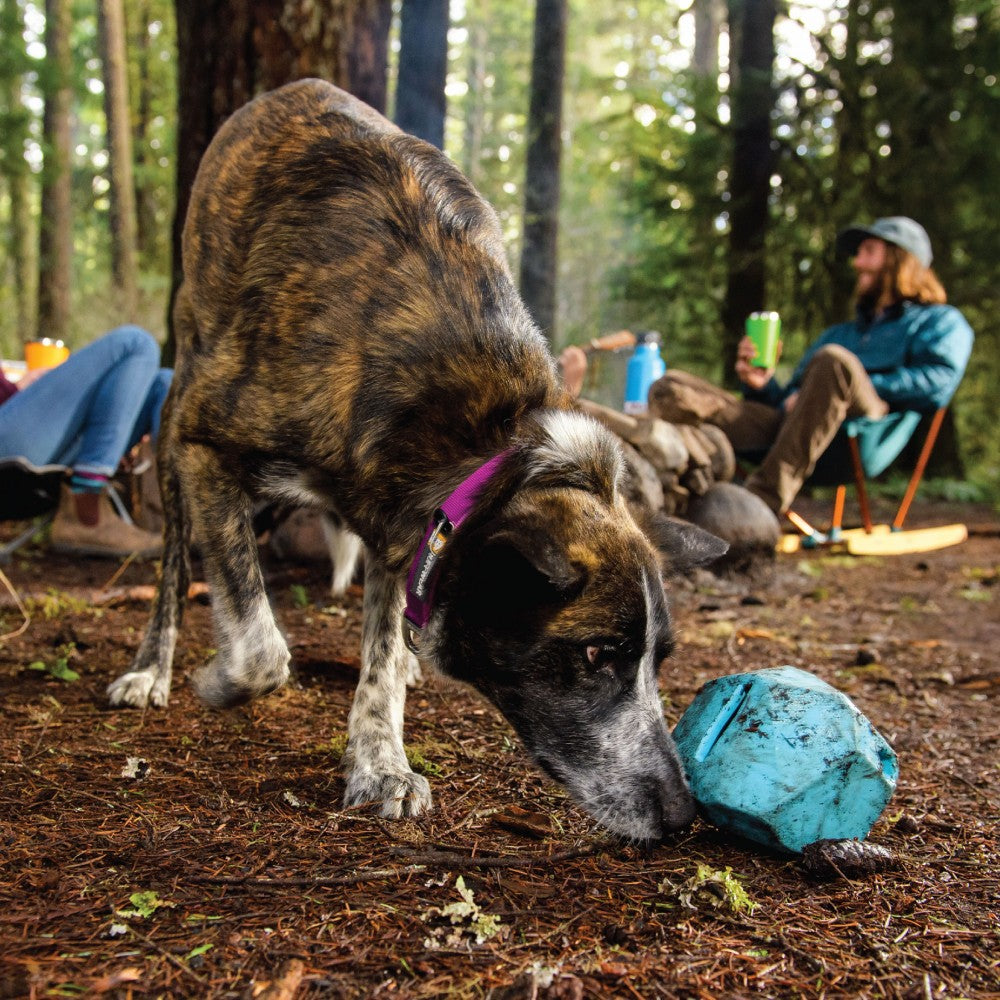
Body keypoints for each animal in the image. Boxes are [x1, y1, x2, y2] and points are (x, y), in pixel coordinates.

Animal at [105, 80, 724, 844]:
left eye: (660, 661)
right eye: (594, 655)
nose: (682, 815)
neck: (484, 434)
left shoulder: (406, 531)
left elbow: (377, 660)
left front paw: (380, 763)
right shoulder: (206, 445)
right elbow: (259, 649)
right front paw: (219, 680)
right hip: (175, 416)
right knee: (171, 567)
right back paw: (150, 669)